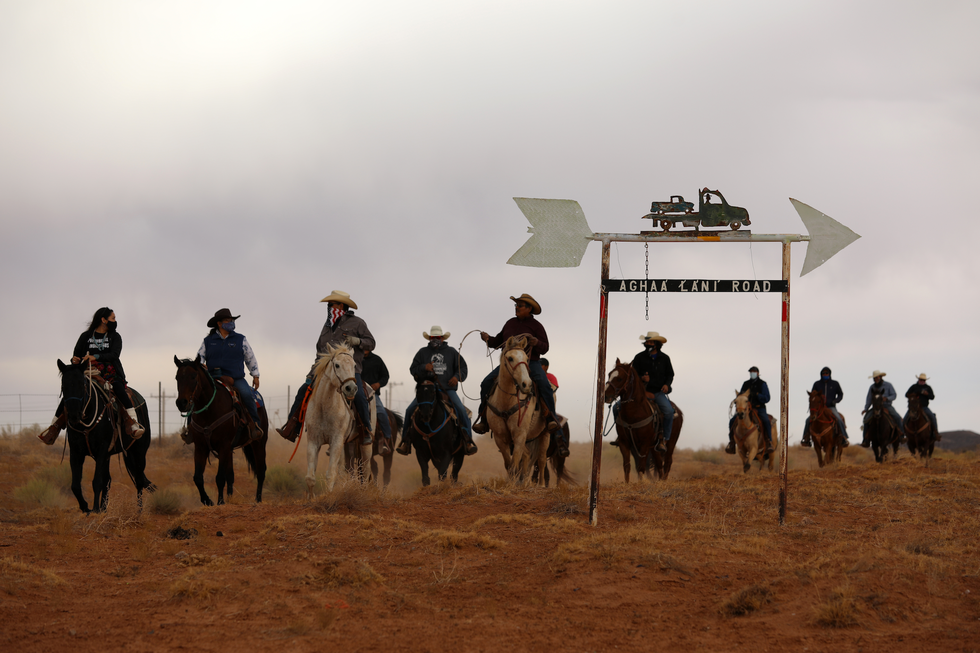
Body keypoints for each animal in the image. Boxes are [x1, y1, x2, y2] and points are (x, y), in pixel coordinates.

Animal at [57, 360, 155, 512]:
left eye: (82, 384)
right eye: (63, 385)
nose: (74, 415)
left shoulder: (102, 450)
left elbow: (97, 481)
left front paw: (95, 509)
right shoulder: (76, 452)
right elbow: (75, 485)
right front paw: (86, 508)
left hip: (138, 451)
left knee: (138, 479)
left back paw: (138, 512)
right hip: (111, 455)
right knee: (109, 479)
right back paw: (104, 509)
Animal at [170, 356, 266, 504]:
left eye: (193, 376)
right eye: (177, 377)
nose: (181, 403)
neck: (209, 410)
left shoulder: (223, 445)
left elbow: (220, 478)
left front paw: (220, 502)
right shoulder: (201, 447)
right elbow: (198, 477)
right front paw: (207, 500)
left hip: (258, 442)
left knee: (261, 471)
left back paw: (258, 499)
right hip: (230, 449)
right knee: (231, 474)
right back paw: (231, 497)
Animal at [302, 344, 372, 496]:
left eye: (354, 365)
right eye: (337, 365)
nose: (351, 388)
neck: (324, 407)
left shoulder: (336, 441)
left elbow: (330, 475)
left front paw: (328, 497)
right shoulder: (313, 440)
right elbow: (310, 477)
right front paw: (311, 498)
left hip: (365, 445)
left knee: (366, 469)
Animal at [484, 336, 548, 484]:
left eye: (526, 357)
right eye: (510, 358)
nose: (527, 385)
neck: (506, 402)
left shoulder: (519, 435)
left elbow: (514, 464)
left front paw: (512, 484)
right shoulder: (500, 437)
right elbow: (509, 464)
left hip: (545, 435)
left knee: (541, 460)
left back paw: (541, 485)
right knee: (527, 455)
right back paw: (523, 481)